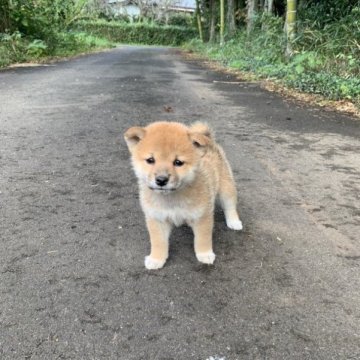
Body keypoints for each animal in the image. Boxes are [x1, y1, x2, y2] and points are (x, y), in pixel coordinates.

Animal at [124, 121, 242, 270]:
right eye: (150, 160)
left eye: (178, 162)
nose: (161, 180)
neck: (172, 199)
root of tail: (210, 141)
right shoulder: (156, 218)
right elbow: (158, 242)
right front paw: (156, 259)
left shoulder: (202, 216)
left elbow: (202, 239)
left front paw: (205, 254)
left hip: (226, 187)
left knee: (230, 206)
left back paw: (234, 222)